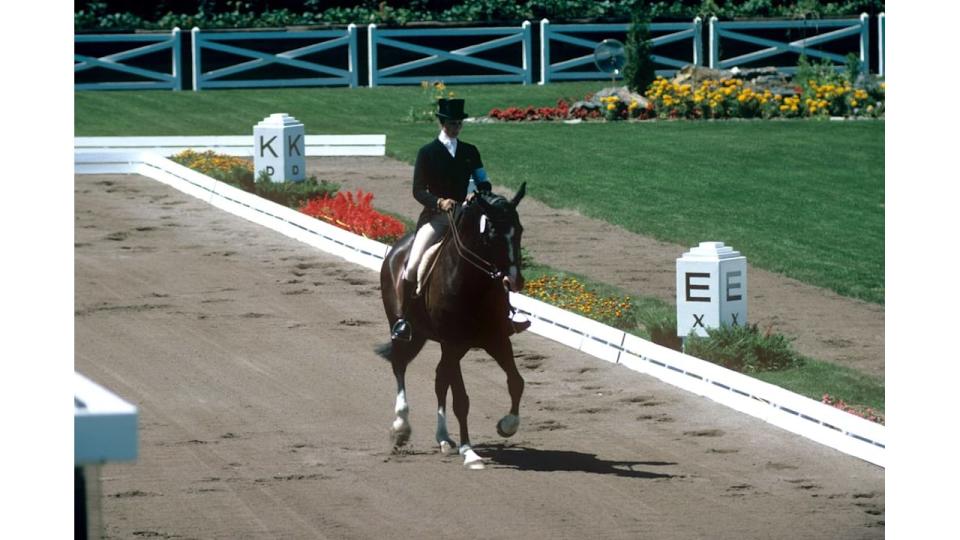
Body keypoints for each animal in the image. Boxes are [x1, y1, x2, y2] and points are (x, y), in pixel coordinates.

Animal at [376, 185, 524, 468]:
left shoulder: (497, 339)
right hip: (405, 330)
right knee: (400, 365)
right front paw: (470, 453)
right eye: (492, 234)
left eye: (520, 230)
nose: (515, 280)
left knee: (439, 378)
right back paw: (401, 427)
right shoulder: (452, 342)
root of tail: (398, 248)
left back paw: (443, 438)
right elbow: (462, 400)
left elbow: (516, 382)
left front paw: (507, 425)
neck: (473, 283)